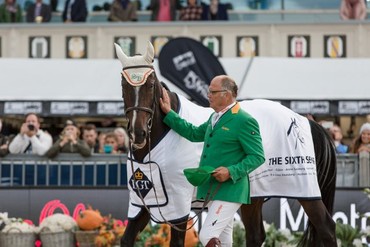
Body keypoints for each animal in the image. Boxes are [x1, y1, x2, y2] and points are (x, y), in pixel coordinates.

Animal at [115, 41, 338, 246]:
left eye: (150, 85)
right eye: (124, 86)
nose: (138, 133)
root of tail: (304, 120)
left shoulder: (177, 204)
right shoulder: (144, 202)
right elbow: (127, 238)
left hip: (305, 190)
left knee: (326, 227)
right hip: (252, 197)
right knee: (256, 235)